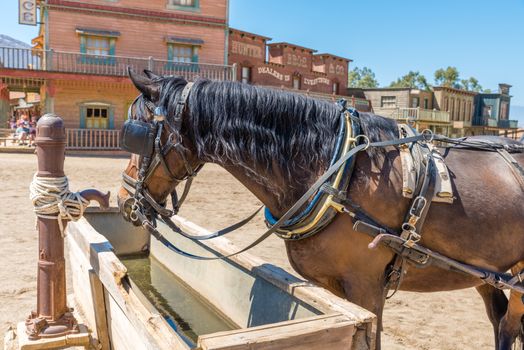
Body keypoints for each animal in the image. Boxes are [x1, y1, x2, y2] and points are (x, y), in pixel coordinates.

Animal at [118, 69, 524, 350]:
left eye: (135, 135)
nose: (124, 201)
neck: (336, 173)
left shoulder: (366, 287)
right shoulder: (335, 289)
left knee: (508, 324)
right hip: (488, 271)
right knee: (500, 321)